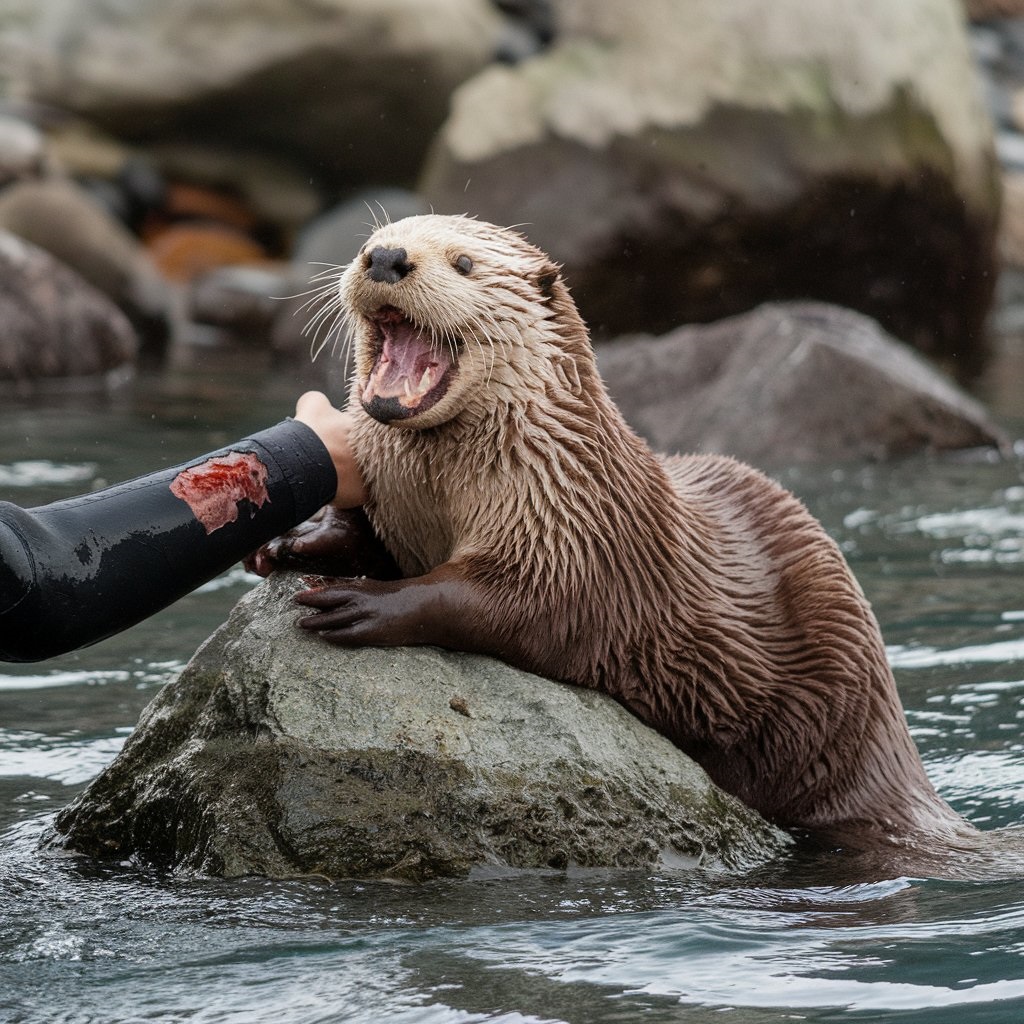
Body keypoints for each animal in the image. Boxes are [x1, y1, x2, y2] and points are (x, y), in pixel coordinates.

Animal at [249, 214, 983, 856]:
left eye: (464, 262)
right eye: (370, 240)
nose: (385, 257)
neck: (445, 497)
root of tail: (898, 753)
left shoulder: (571, 535)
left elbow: (498, 601)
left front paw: (364, 601)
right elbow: (370, 536)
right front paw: (297, 540)